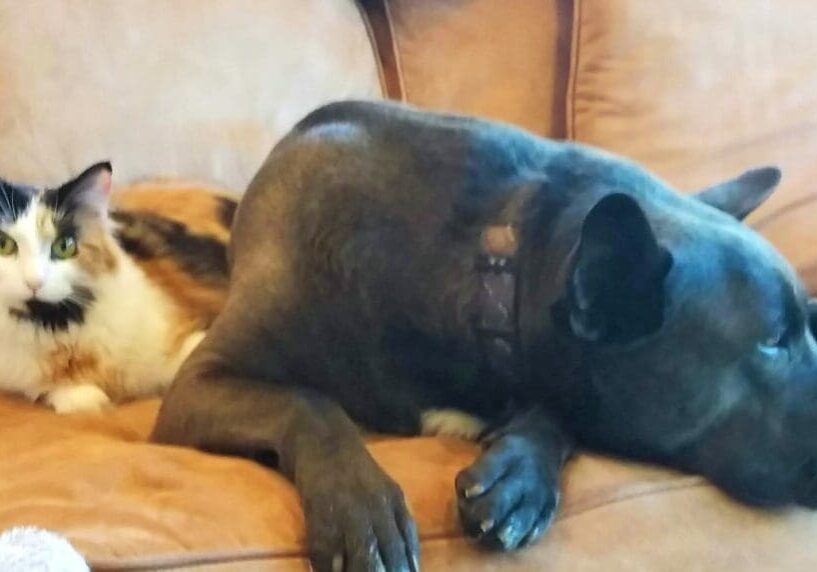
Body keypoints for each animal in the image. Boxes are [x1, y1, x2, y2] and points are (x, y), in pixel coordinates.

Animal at [151, 100, 816, 568]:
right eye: (772, 341)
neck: (499, 274)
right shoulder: (200, 384)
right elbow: (308, 404)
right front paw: (360, 507)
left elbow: (556, 414)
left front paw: (521, 472)